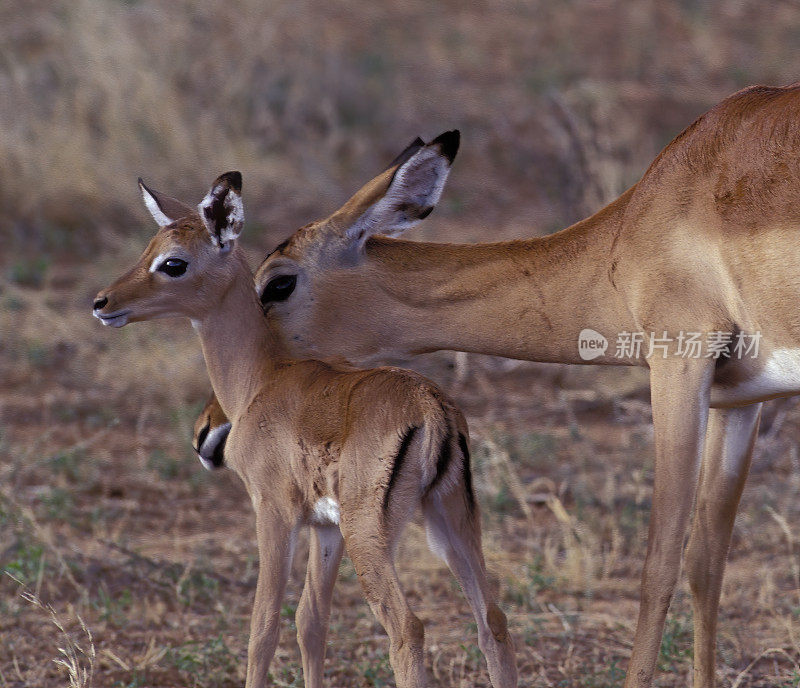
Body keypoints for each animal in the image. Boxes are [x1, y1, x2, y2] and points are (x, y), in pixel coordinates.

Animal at [92, 168, 520, 688]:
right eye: (147, 248)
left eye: (173, 262)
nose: (102, 302)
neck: (260, 379)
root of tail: (430, 406)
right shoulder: (325, 527)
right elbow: (311, 622)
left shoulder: (273, 513)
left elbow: (263, 627)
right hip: (451, 519)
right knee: (493, 622)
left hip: (371, 535)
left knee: (407, 628)